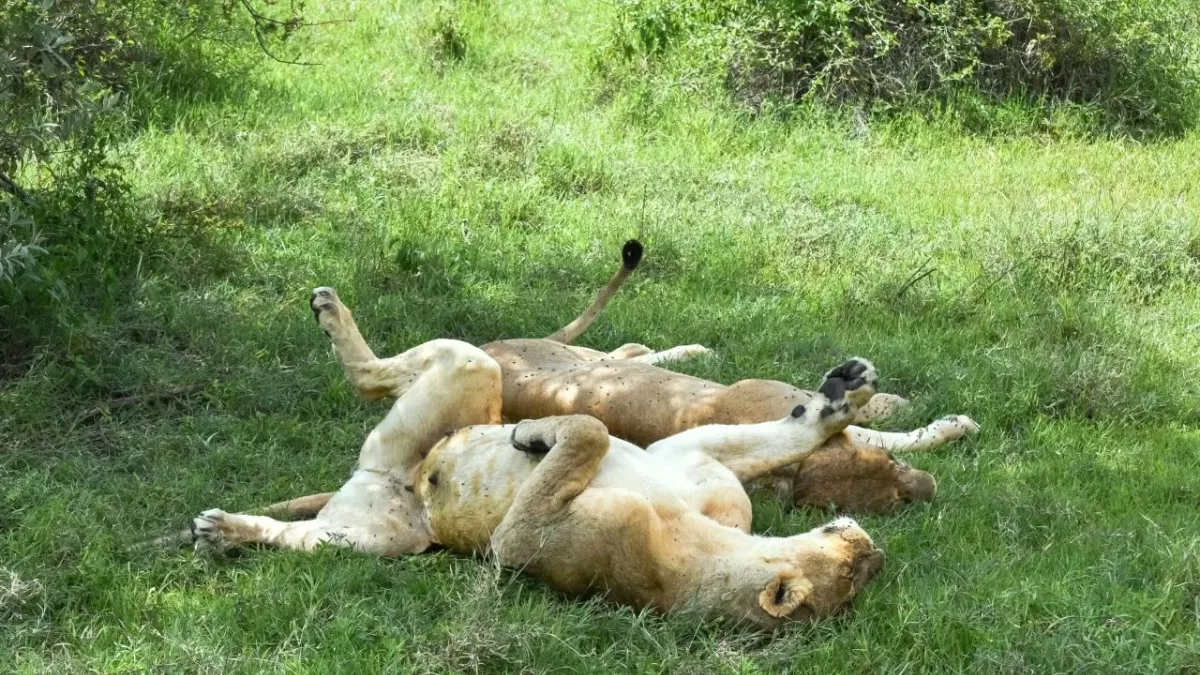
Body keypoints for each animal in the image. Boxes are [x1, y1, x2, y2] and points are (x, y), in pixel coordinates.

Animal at [189, 296, 886, 627]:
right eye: (856, 571)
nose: (873, 549)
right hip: (476, 367)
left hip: (369, 536)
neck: (718, 548)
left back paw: (220, 530)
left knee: (310, 505)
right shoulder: (692, 452)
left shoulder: (522, 541)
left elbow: (591, 433)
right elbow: (785, 435)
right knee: (378, 374)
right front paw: (844, 393)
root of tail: (394, 477)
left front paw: (538, 435)